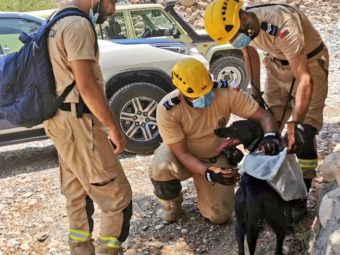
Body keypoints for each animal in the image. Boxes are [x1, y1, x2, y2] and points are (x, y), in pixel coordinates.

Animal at [215, 120, 290, 255]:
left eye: (235, 127)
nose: (215, 131)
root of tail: (246, 194)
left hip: (240, 224)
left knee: (241, 248)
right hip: (274, 219)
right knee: (279, 241)